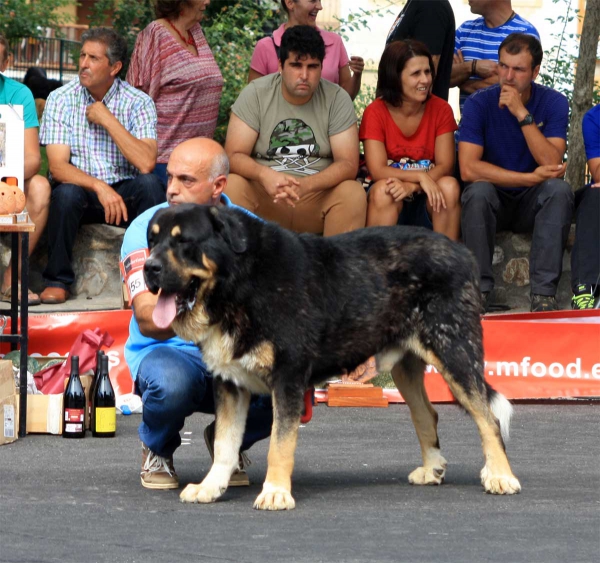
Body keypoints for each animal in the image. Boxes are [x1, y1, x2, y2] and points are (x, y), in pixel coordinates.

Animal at [144, 204, 520, 512]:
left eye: (183, 242)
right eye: (153, 240)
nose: (149, 268)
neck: (239, 281)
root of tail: (462, 250)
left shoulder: (288, 378)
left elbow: (280, 444)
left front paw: (276, 492)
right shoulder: (230, 382)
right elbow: (225, 442)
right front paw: (211, 487)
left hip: (455, 352)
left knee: (488, 419)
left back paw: (501, 476)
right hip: (407, 368)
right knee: (427, 414)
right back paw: (432, 469)